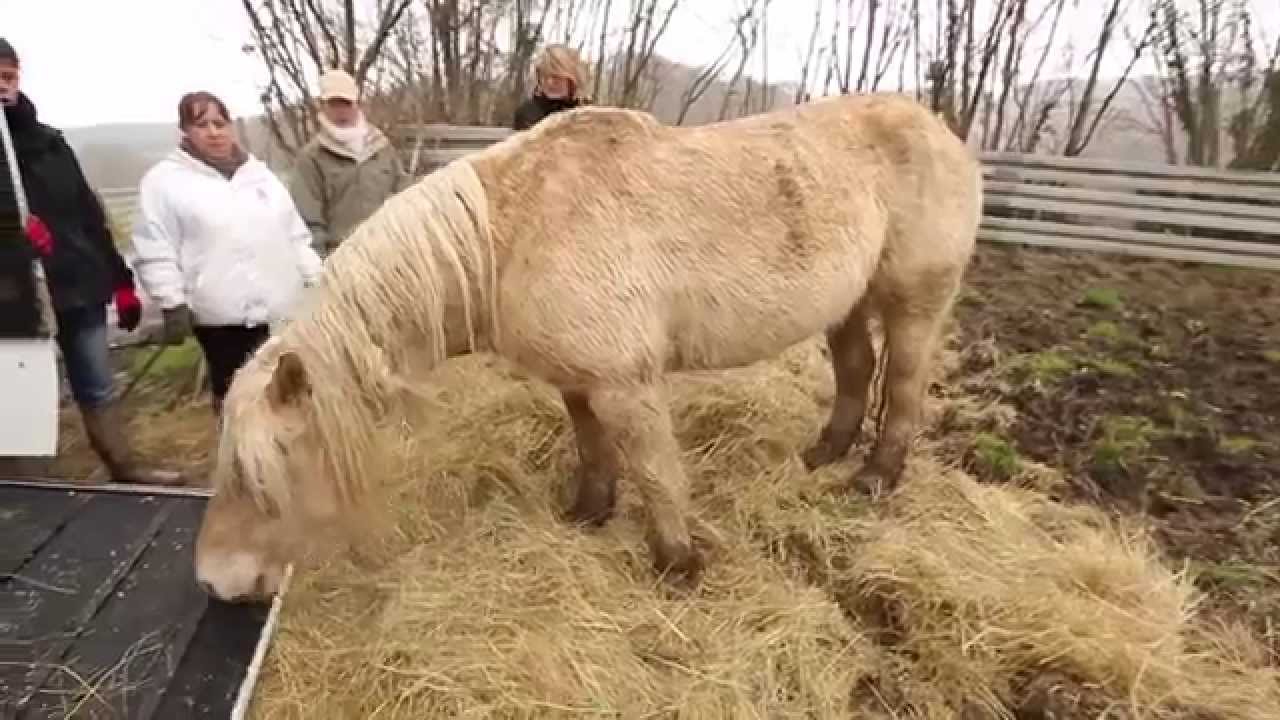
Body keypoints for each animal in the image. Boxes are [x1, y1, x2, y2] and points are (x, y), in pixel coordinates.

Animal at [193, 92, 982, 604]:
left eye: (266, 469)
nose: (217, 579)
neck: (508, 238)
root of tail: (939, 129)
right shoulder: (580, 381)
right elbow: (593, 448)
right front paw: (589, 513)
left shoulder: (628, 383)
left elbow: (657, 473)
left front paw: (678, 566)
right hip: (846, 304)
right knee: (856, 371)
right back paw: (825, 454)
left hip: (913, 301)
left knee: (903, 383)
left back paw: (876, 476)